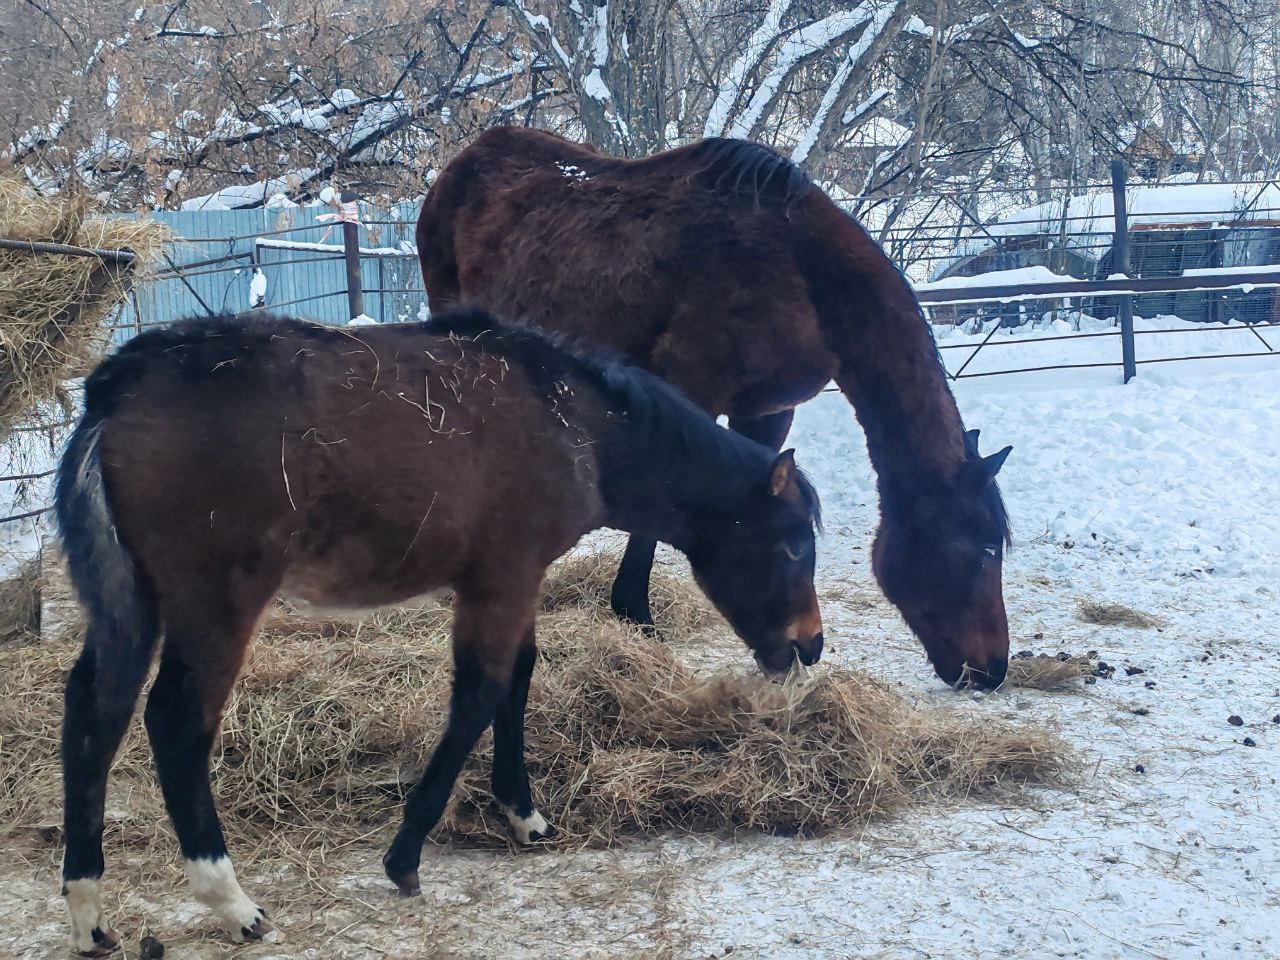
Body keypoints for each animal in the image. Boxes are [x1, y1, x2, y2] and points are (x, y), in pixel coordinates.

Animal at [55, 308, 823, 953]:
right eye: (791, 543)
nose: (809, 645)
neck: (574, 421)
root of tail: (113, 394)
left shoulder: (510, 581)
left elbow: (517, 678)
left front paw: (525, 816)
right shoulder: (503, 577)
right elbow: (481, 695)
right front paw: (406, 855)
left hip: (134, 601)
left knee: (94, 712)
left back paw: (90, 912)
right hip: (216, 601)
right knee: (175, 721)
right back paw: (232, 902)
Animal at [417, 127, 1012, 691]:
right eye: (986, 548)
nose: (993, 669)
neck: (800, 272)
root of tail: (466, 159)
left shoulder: (768, 411)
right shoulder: (690, 387)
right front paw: (634, 612)